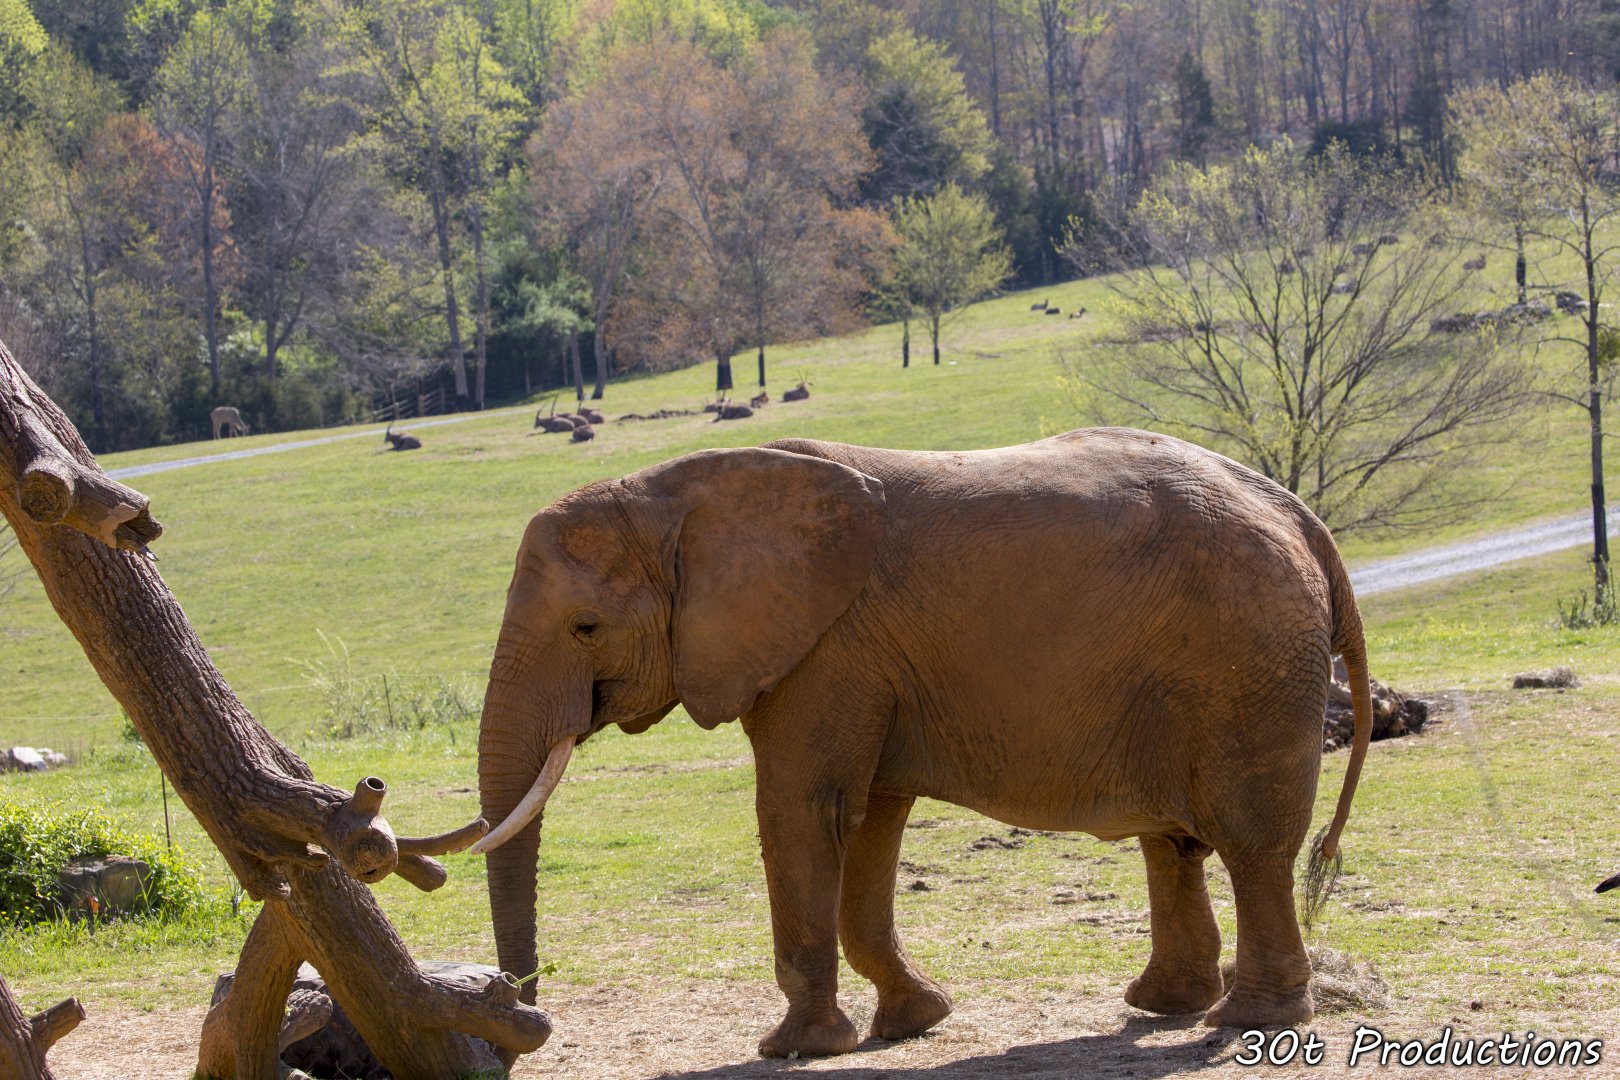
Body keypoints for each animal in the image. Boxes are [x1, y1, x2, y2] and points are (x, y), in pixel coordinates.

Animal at [471, 428, 1374, 1059]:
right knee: (1174, 841)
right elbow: (868, 820)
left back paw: (1246, 1021)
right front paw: (914, 1022)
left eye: (586, 628)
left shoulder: (826, 649)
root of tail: (1297, 511)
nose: (524, 1011)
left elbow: (804, 812)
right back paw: (1162, 1005)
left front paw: (796, 1049)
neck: (673, 490)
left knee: (1251, 842)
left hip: (1249, 659)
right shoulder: (853, 662)